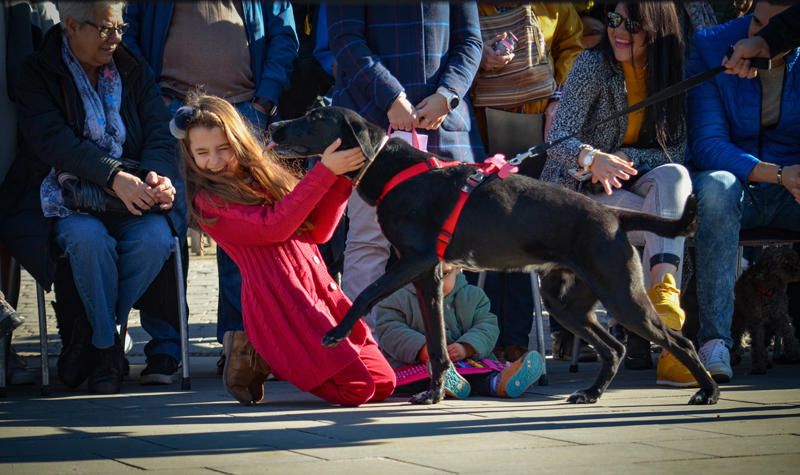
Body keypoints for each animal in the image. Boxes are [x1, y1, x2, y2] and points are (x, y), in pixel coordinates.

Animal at [268, 107, 720, 406]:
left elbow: (365, 294)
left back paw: (708, 390)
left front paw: (337, 331)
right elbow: (436, 343)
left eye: (314, 117)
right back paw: (592, 392)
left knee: (677, 339)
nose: (273, 124)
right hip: (566, 302)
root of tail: (612, 214)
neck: (390, 167)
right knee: (613, 348)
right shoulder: (427, 276)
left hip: (622, 297)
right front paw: (434, 392)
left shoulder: (413, 261)